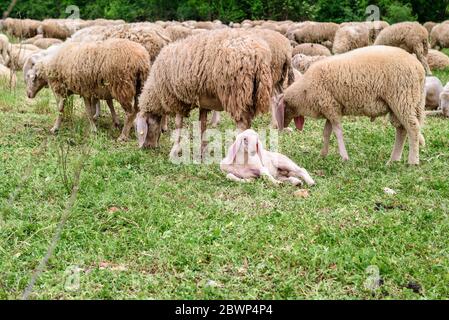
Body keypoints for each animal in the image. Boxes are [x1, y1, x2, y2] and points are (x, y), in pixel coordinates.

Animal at [135, 28, 272, 153]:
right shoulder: (203, 101)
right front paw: (203, 150)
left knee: (242, 126)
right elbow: (203, 124)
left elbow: (179, 124)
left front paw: (175, 150)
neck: (156, 91)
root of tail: (258, 55)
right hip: (250, 95)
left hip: (236, 93)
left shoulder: (177, 99)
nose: (148, 147)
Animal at [274, 46, 426, 166]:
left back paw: (413, 161)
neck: (304, 91)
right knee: (402, 129)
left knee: (412, 128)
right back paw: (393, 160)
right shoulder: (330, 108)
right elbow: (326, 132)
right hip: (407, 102)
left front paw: (344, 157)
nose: (278, 127)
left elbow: (337, 132)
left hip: (402, 98)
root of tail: (419, 69)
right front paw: (323, 154)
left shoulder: (330, 106)